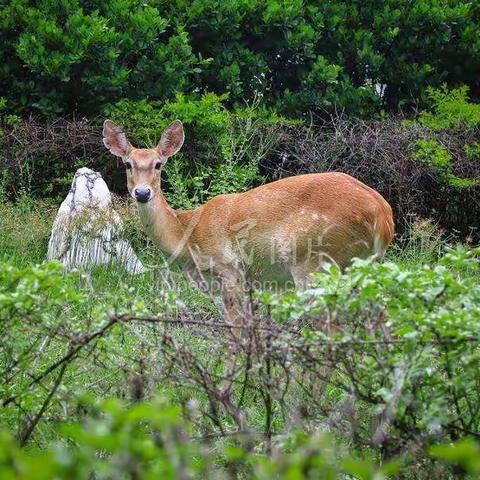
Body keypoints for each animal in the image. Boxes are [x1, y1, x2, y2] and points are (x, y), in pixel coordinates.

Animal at [102, 119, 394, 330]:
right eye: (127, 163)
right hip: (361, 267)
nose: (142, 193)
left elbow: (236, 330)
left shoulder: (229, 269)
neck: (187, 235)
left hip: (315, 260)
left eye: (158, 164)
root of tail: (384, 215)